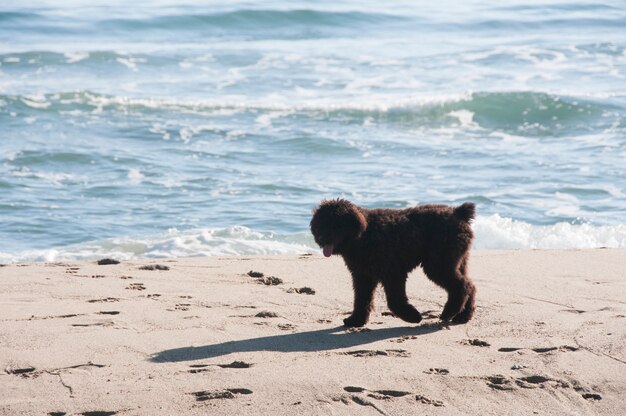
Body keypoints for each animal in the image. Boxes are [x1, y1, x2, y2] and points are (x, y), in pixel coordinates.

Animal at [310, 200, 476, 326]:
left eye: (336, 224)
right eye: (320, 223)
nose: (321, 238)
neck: (364, 235)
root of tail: (458, 212)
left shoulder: (393, 273)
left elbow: (395, 301)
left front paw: (412, 316)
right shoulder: (363, 276)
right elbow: (361, 299)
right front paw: (356, 321)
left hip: (439, 263)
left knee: (462, 286)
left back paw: (449, 312)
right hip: (457, 261)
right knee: (470, 285)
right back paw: (462, 316)